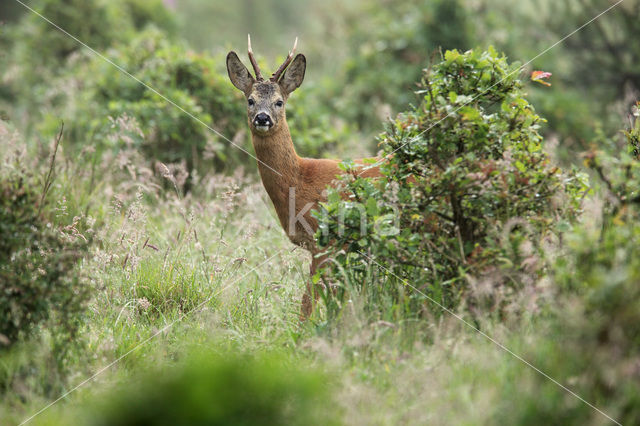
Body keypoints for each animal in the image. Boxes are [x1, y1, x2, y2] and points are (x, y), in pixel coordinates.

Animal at [226, 35, 380, 316]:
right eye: (250, 100)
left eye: (279, 101)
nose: (262, 118)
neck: (299, 180)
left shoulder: (328, 240)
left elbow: (308, 302)